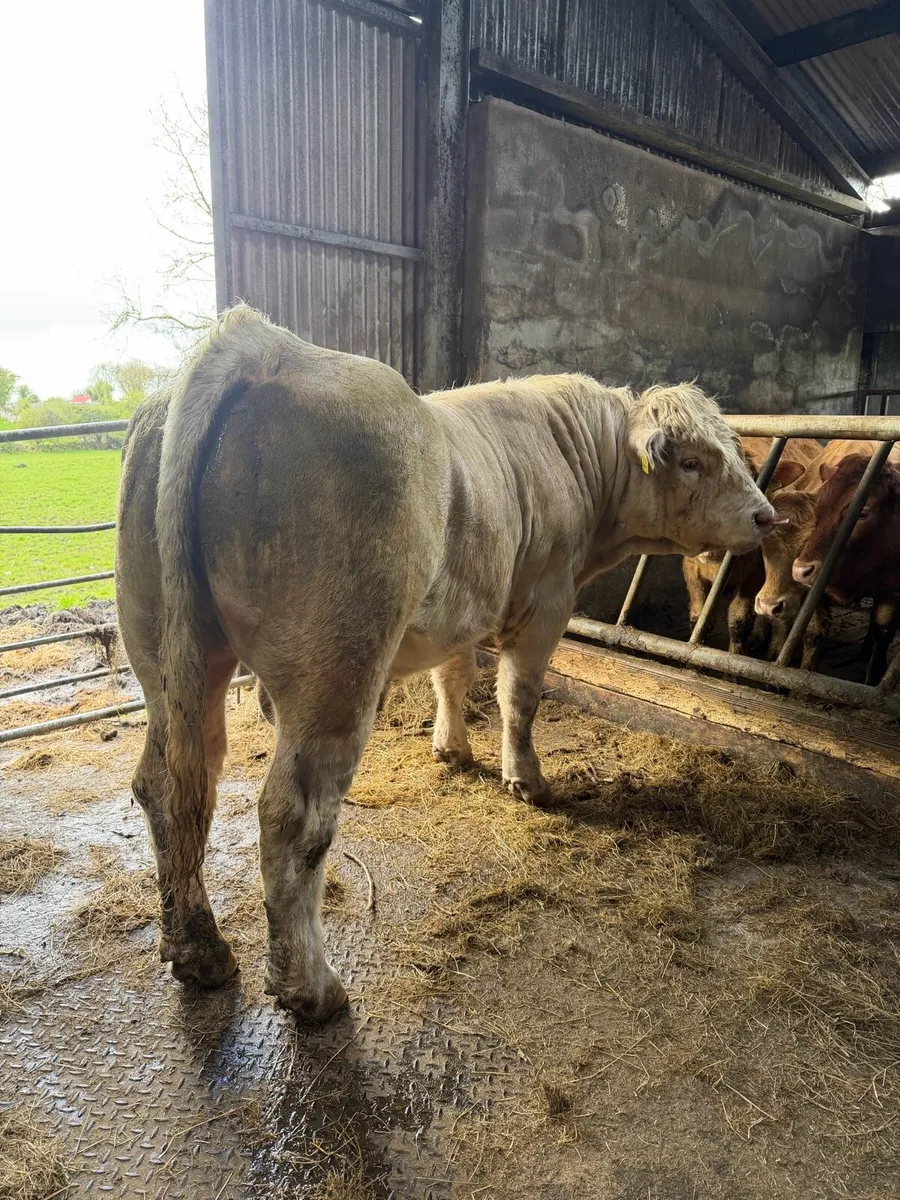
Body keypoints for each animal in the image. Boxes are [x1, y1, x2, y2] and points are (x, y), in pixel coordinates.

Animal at [115, 304, 777, 1021]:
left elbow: (453, 676)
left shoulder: (464, 605)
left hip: (169, 660)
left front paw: (452, 748)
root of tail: (263, 342)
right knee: (293, 814)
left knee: (171, 784)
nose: (766, 516)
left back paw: (199, 950)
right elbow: (520, 696)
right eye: (693, 460)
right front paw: (526, 779)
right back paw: (310, 986)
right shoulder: (546, 599)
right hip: (336, 670)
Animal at [793, 448, 900, 684]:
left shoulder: (892, 591)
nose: (801, 570)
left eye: (862, 513)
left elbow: (882, 634)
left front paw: (873, 679)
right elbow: (813, 631)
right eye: (817, 505)